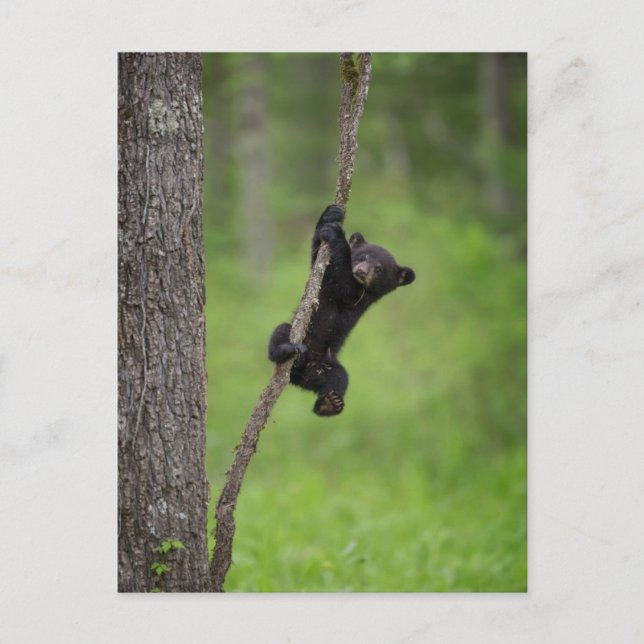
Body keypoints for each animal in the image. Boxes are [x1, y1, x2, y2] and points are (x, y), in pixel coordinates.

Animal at [268, 204, 415, 416]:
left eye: (379, 268)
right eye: (362, 257)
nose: (361, 271)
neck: (361, 285)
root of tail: (299, 375)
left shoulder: (359, 297)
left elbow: (342, 283)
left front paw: (337, 235)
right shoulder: (324, 281)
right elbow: (317, 256)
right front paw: (330, 215)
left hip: (328, 363)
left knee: (339, 378)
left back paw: (329, 403)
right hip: (297, 336)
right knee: (280, 332)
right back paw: (286, 349)